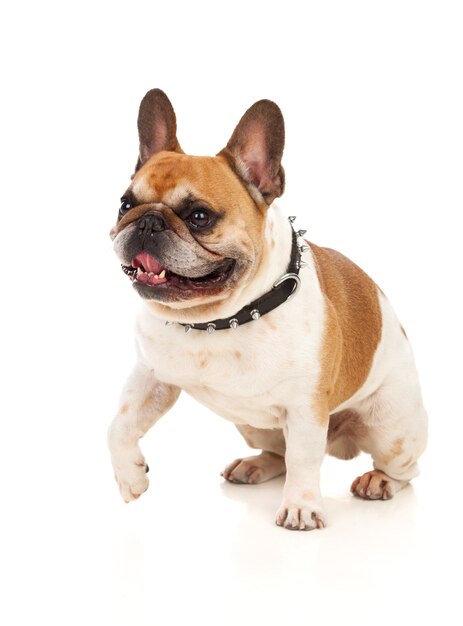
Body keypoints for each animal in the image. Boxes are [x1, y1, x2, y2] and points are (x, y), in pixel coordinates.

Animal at [108, 86, 428, 528]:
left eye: (199, 216)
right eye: (125, 205)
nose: (148, 222)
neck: (219, 319)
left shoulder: (306, 408)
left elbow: (305, 460)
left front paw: (301, 506)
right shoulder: (150, 378)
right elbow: (119, 424)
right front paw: (130, 477)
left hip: (391, 429)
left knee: (405, 469)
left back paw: (379, 481)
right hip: (253, 425)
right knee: (279, 452)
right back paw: (256, 464)